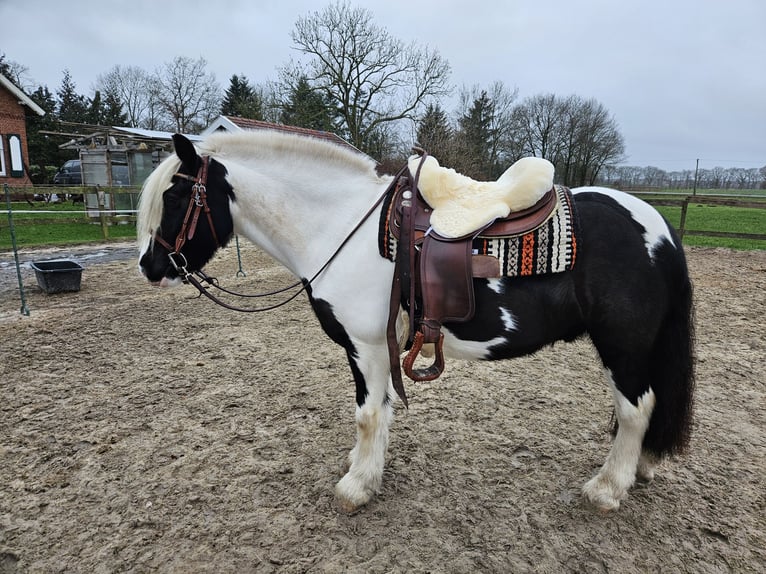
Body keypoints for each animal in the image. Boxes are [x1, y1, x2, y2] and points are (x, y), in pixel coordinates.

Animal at [138, 130, 696, 512]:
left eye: (174, 196)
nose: (150, 266)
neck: (340, 227)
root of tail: (660, 227)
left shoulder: (364, 345)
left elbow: (367, 414)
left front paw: (355, 488)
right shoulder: (376, 347)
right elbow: (380, 412)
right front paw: (366, 470)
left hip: (623, 346)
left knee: (636, 409)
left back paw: (607, 488)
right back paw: (641, 468)